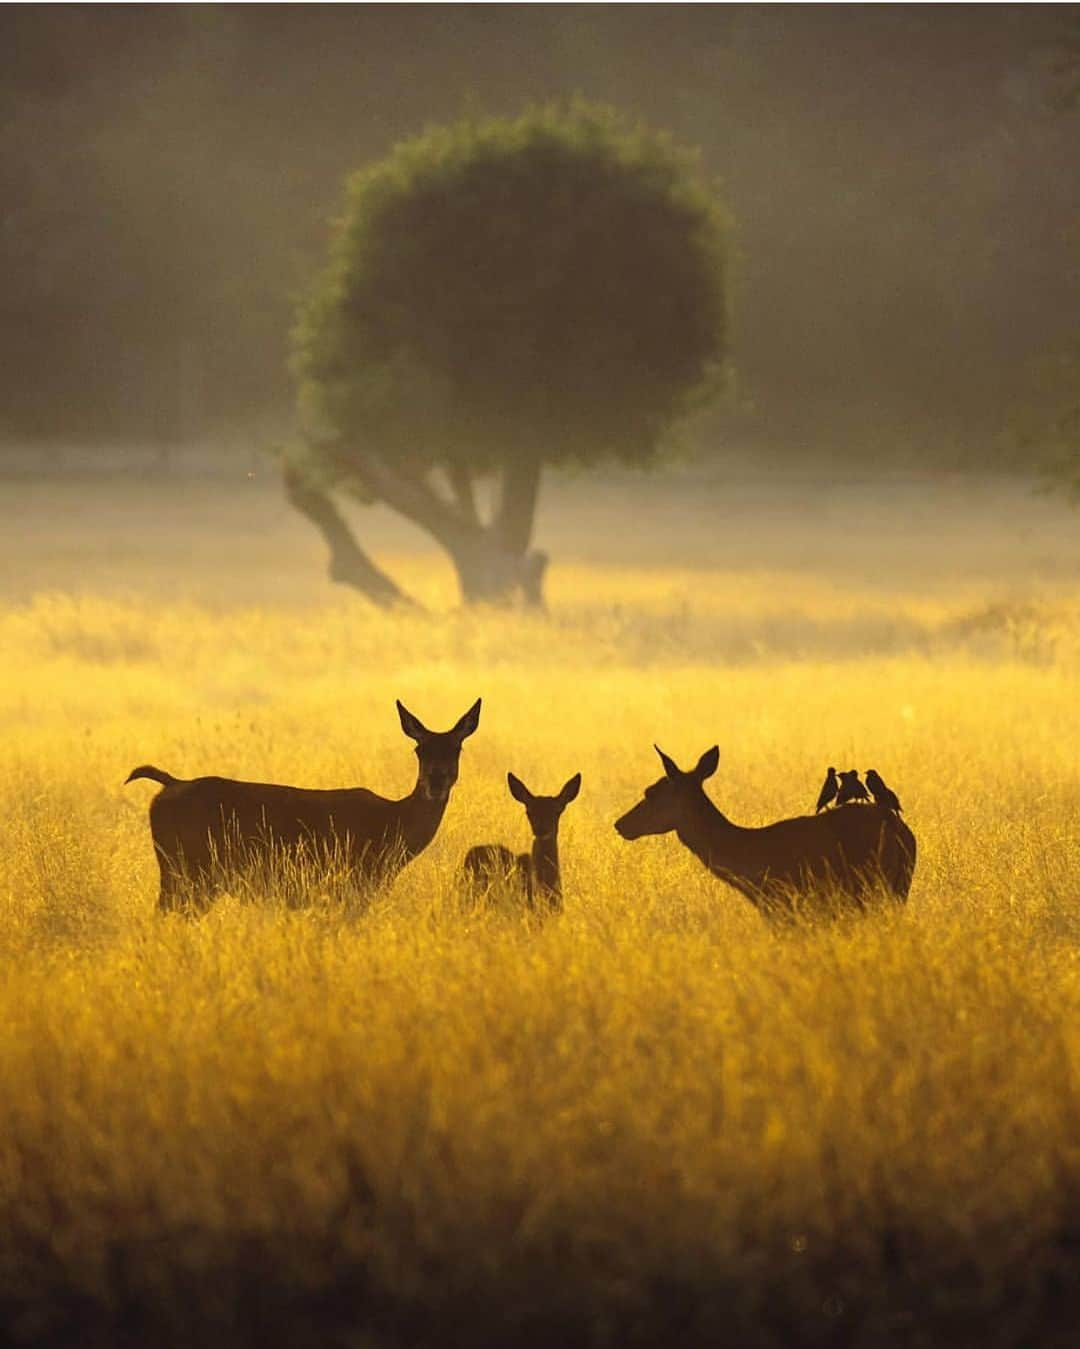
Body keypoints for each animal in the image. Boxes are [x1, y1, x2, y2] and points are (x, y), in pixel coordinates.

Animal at [124, 696, 477, 917]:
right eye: (419, 750)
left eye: (456, 748)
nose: (436, 781)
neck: (392, 828)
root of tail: (169, 785)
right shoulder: (349, 885)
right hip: (186, 870)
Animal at [614, 744, 911, 922]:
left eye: (651, 792)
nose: (621, 824)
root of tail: (903, 833)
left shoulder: (782, 904)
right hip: (899, 887)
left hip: (875, 886)